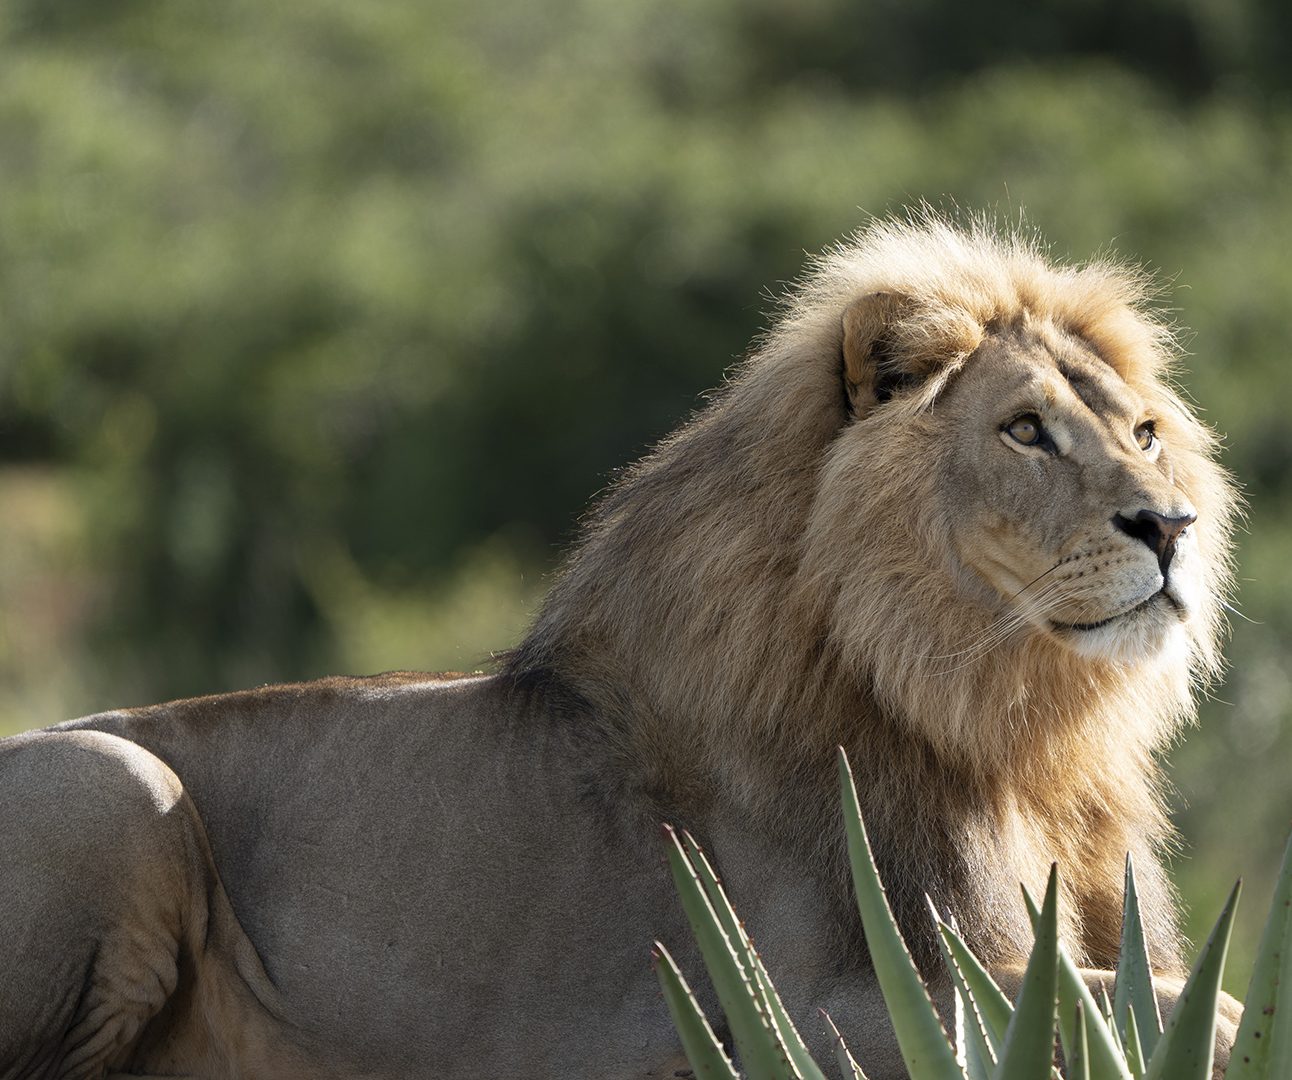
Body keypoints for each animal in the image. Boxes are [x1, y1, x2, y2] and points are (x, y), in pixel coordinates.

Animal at [0, 213, 1240, 1080]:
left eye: (1143, 433)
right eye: (1023, 430)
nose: (1168, 526)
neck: (1016, 730)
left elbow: (1172, 991)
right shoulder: (781, 1009)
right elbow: (1168, 1008)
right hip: (118, 780)